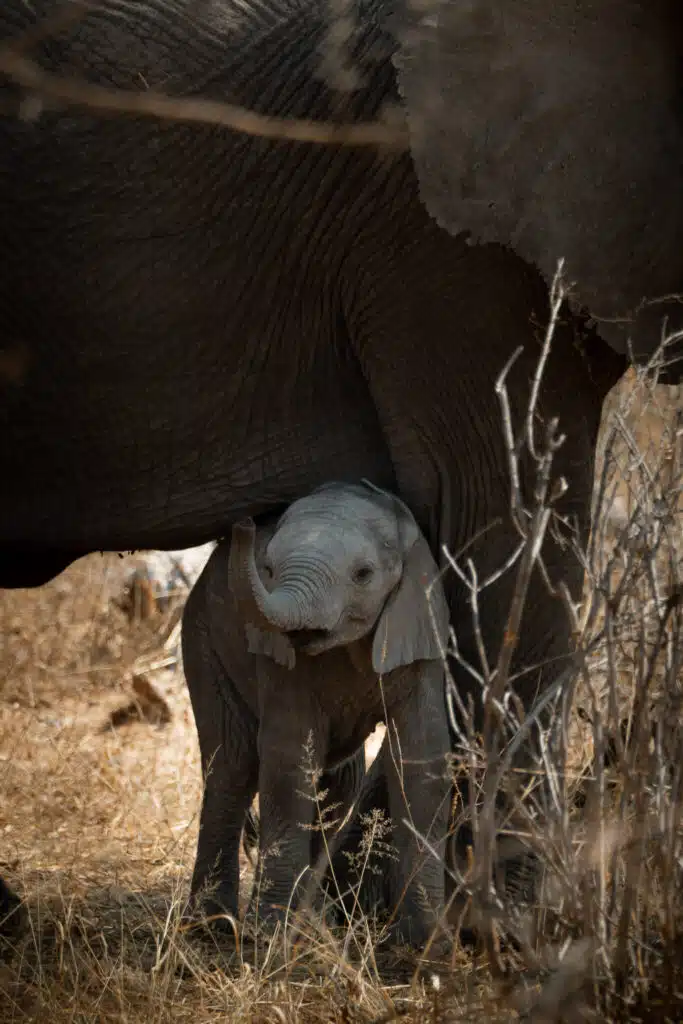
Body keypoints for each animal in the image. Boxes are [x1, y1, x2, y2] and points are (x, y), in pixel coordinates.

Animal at [181, 481, 451, 947]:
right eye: (268, 569)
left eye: (363, 574)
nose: (243, 525)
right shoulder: (280, 659)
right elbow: (288, 760)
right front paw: (270, 936)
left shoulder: (421, 627)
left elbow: (421, 757)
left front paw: (429, 944)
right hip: (201, 636)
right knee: (233, 767)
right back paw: (212, 928)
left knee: (338, 784)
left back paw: (312, 919)